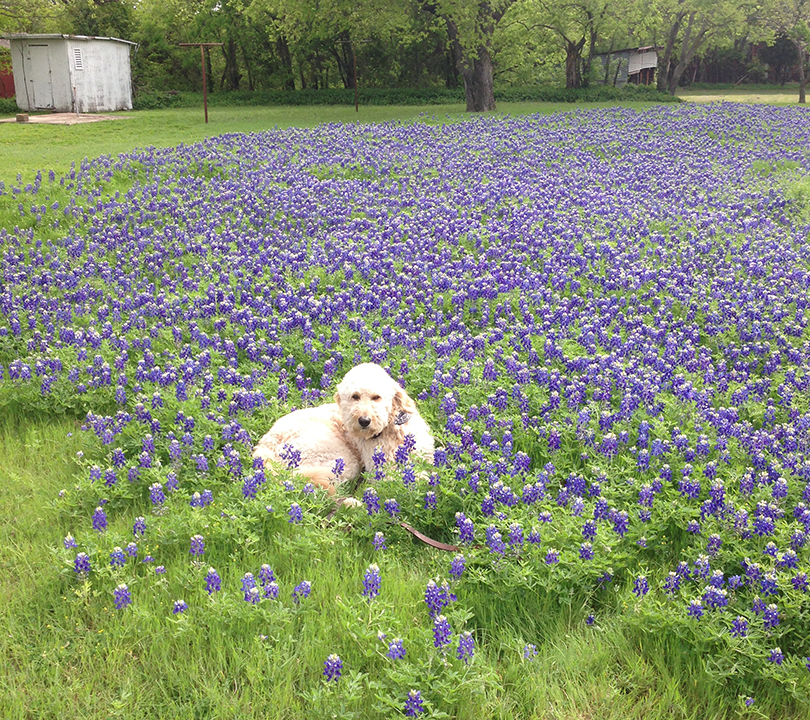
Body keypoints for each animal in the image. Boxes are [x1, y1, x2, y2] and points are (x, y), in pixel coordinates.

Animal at [254, 362, 436, 492]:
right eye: (355, 397)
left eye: (376, 397)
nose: (364, 420)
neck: (389, 430)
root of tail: (265, 445)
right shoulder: (379, 470)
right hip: (340, 458)